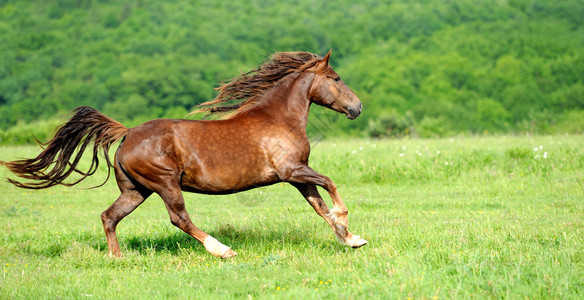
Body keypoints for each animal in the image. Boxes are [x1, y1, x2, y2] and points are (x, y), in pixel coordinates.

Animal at [1, 51, 364, 258]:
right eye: (336, 78)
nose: (357, 107)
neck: (278, 119)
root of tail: (127, 133)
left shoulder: (297, 175)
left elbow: (319, 206)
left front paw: (350, 239)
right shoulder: (291, 170)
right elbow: (330, 186)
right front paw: (346, 222)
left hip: (136, 190)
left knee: (109, 216)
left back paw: (117, 258)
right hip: (165, 184)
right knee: (179, 218)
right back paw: (222, 250)